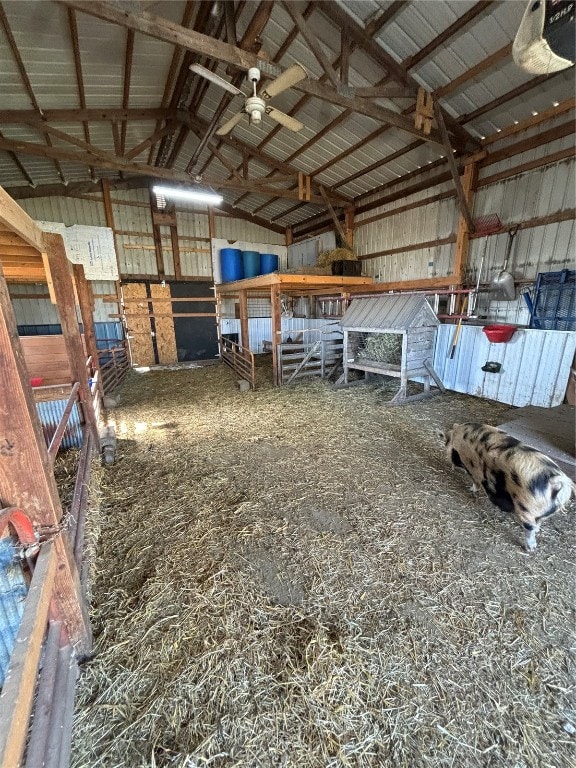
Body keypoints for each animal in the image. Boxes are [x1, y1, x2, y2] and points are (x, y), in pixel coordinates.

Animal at [438, 420, 572, 552]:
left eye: (446, 443)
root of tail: (556, 481)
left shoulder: (472, 467)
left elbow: (475, 480)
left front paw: (471, 489)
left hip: (527, 510)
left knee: (530, 529)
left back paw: (530, 548)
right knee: (537, 523)